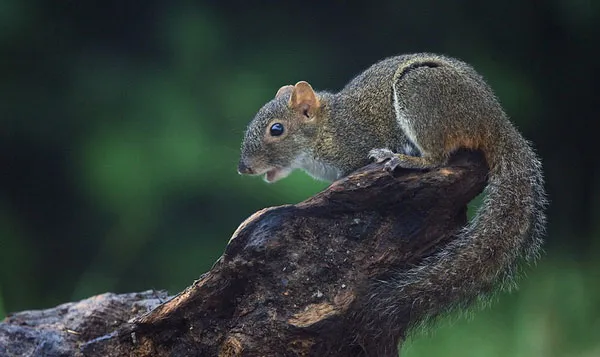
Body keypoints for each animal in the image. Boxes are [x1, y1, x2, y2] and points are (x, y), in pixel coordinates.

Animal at [237, 52, 548, 354]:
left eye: (277, 129)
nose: (243, 168)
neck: (327, 129)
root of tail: (495, 120)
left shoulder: (355, 149)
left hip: (420, 92)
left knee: (437, 158)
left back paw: (402, 158)